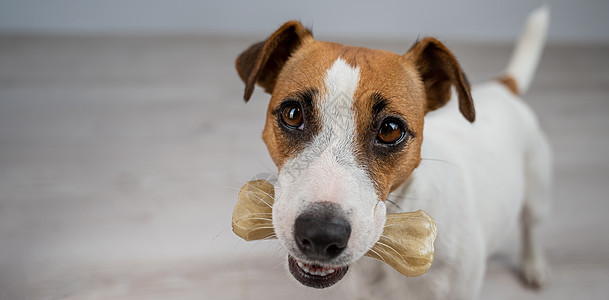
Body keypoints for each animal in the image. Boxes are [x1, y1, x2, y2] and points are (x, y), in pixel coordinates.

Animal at [233, 5, 552, 298]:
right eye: (293, 113)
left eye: (390, 129)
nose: (321, 234)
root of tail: (502, 87)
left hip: (536, 195)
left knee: (532, 228)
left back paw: (533, 265)